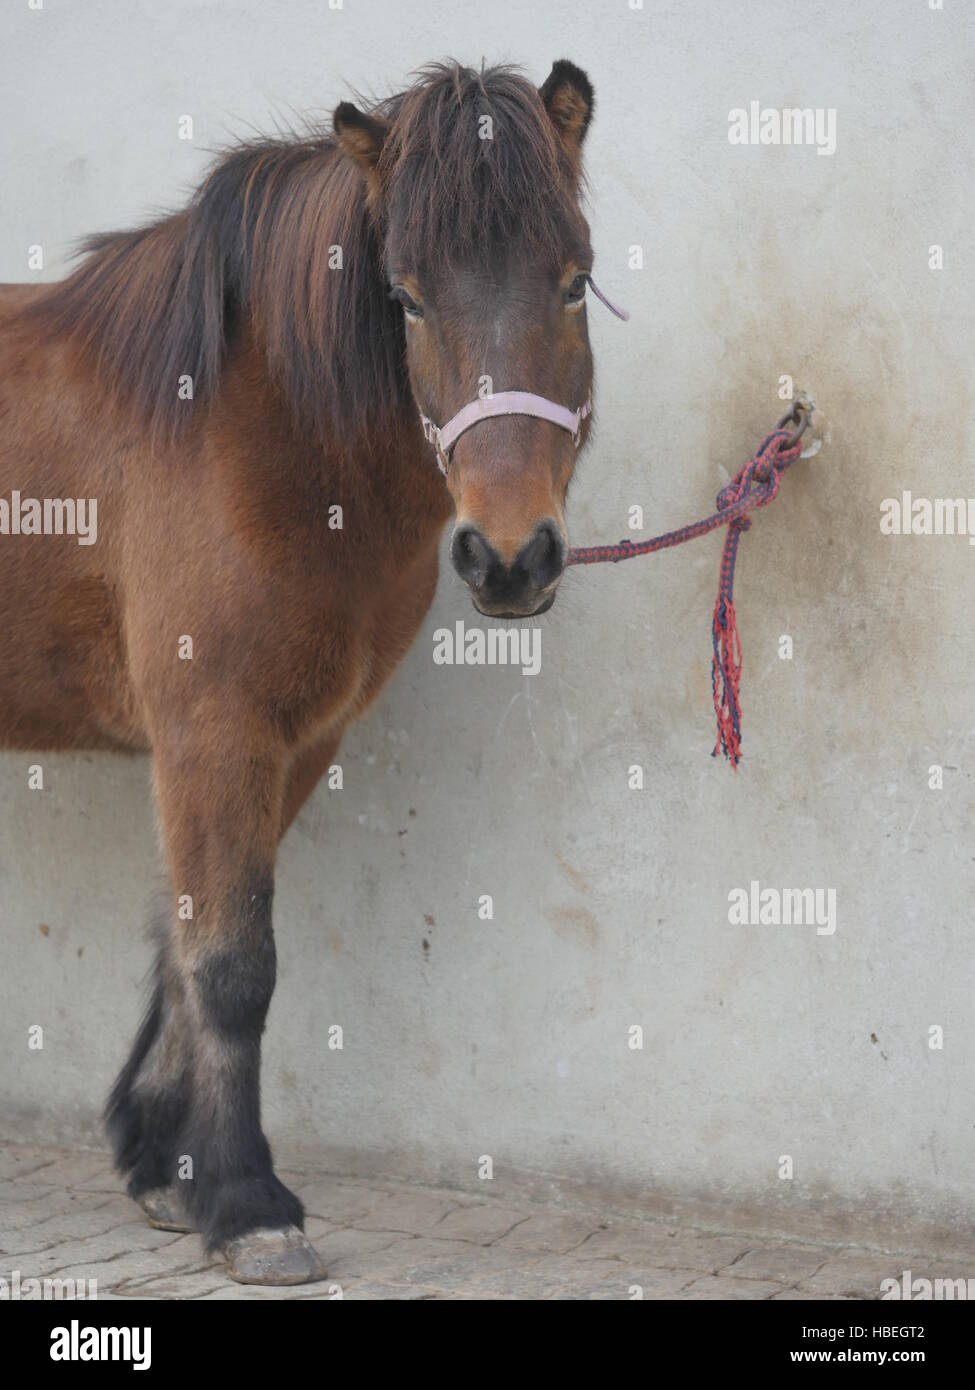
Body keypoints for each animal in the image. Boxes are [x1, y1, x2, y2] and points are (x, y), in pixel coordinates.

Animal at [1, 62, 600, 1278]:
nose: (510, 556)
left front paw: (168, 1170)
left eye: (575, 283)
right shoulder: (212, 733)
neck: (247, 429)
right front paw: (247, 1203)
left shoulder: (296, 738)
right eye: (405, 297)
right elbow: (232, 963)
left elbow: (182, 941)